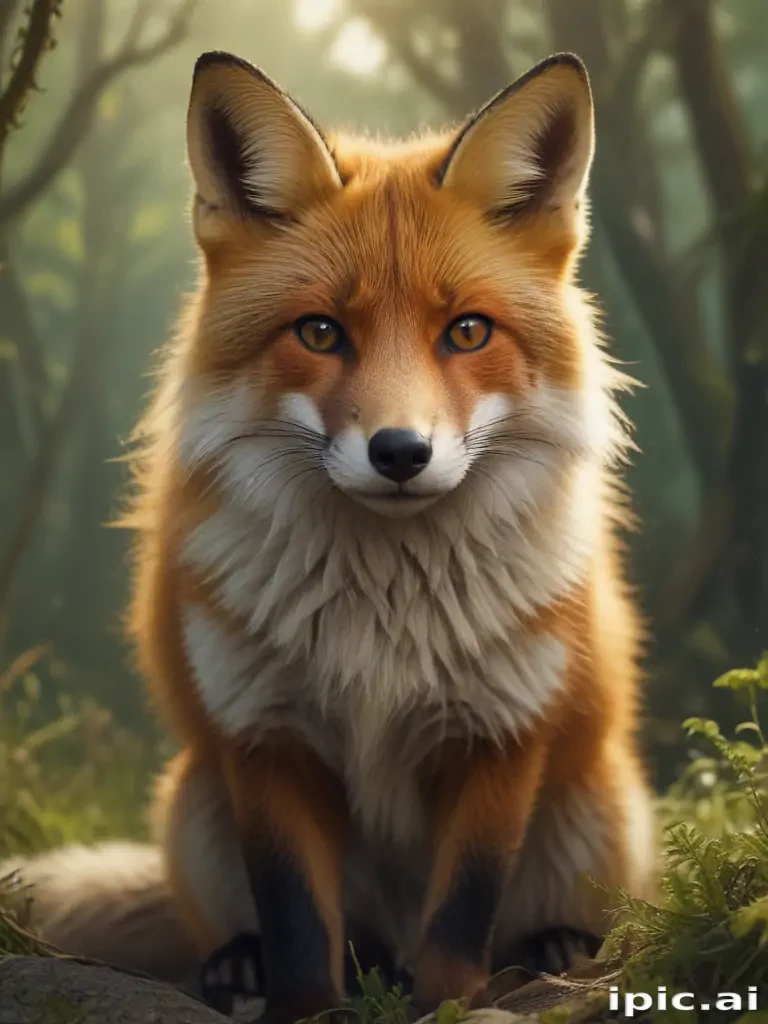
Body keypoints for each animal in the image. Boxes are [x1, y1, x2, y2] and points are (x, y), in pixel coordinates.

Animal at [7, 49, 657, 1022]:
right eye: (319, 332)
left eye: (467, 331)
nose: (400, 452)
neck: (380, 623)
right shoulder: (263, 734)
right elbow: (298, 924)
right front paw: (306, 1004)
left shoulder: (502, 734)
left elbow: (462, 919)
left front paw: (452, 1004)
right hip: (193, 798)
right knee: (297, 937)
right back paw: (239, 967)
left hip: (595, 803)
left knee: (539, 920)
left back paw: (554, 949)